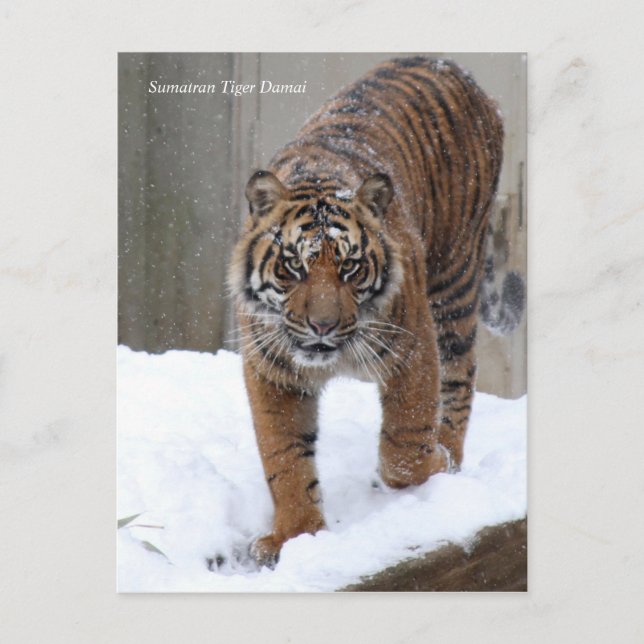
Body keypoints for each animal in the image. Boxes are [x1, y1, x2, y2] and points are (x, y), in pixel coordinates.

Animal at [228, 56, 524, 568]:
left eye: (349, 267)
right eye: (293, 266)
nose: (322, 325)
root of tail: (455, 68)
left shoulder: (413, 347)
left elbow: (403, 447)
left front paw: (431, 463)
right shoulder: (272, 370)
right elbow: (284, 457)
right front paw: (295, 536)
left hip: (454, 281)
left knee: (460, 376)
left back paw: (449, 455)